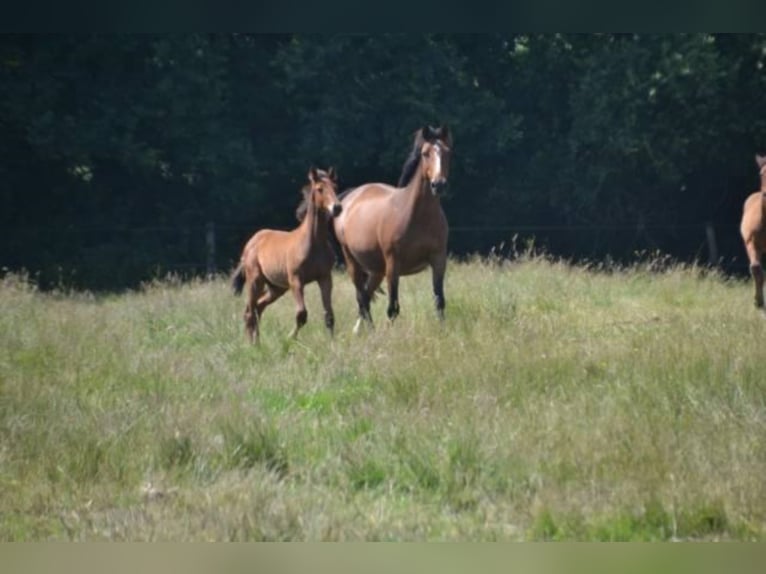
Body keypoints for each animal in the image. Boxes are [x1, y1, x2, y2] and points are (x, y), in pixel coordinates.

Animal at [232, 169, 344, 344]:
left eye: (335, 187)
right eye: (320, 189)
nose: (337, 207)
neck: (314, 242)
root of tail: (251, 243)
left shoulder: (325, 278)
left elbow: (329, 315)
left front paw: (332, 344)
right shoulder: (296, 280)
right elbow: (302, 314)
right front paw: (289, 339)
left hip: (276, 287)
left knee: (258, 307)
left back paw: (258, 343)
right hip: (256, 280)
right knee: (250, 312)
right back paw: (251, 344)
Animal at [332, 125, 452, 332]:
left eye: (447, 152)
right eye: (425, 153)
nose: (438, 184)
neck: (418, 216)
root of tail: (350, 197)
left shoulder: (438, 260)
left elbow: (439, 301)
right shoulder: (393, 264)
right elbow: (393, 308)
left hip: (376, 270)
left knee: (365, 296)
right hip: (353, 262)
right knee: (361, 297)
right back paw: (368, 331)